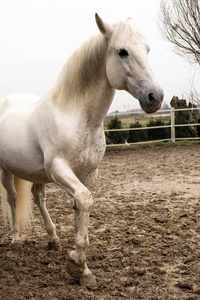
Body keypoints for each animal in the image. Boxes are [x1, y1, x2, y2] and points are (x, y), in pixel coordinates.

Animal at [0, 14, 163, 288]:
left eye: (148, 50)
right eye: (122, 52)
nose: (156, 97)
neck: (76, 116)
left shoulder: (87, 173)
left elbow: (80, 208)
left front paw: (81, 267)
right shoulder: (58, 169)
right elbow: (85, 200)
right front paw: (76, 264)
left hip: (36, 173)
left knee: (37, 196)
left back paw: (53, 239)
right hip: (5, 170)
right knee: (12, 199)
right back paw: (15, 239)